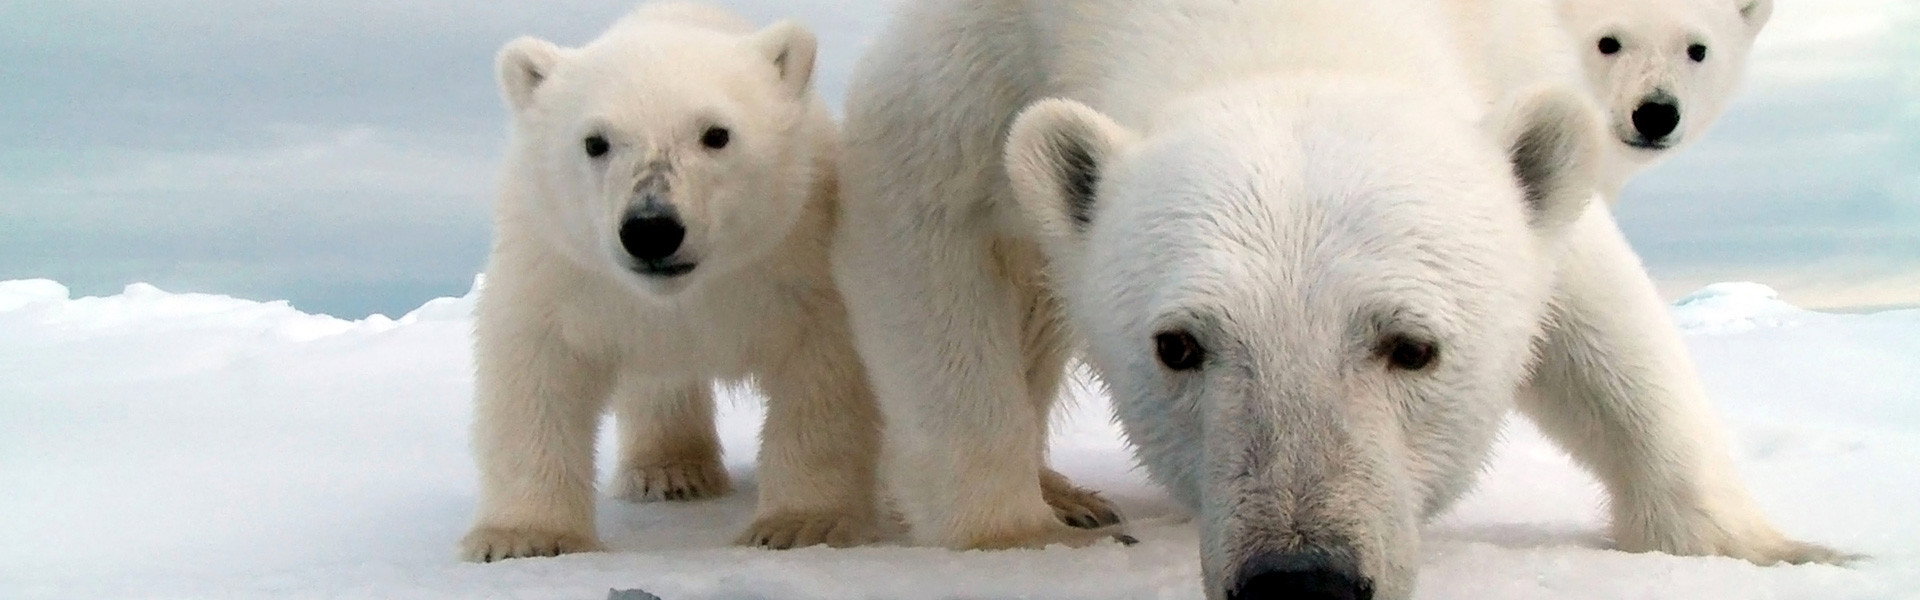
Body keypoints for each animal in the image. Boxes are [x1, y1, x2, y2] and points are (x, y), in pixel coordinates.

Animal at [459, 3, 882, 562]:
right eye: (595, 141)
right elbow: (537, 371)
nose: (651, 228)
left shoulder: (797, 259)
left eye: (717, 133)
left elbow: (822, 371)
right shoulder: (562, 269)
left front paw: (801, 524)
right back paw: (672, 472)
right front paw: (522, 537)